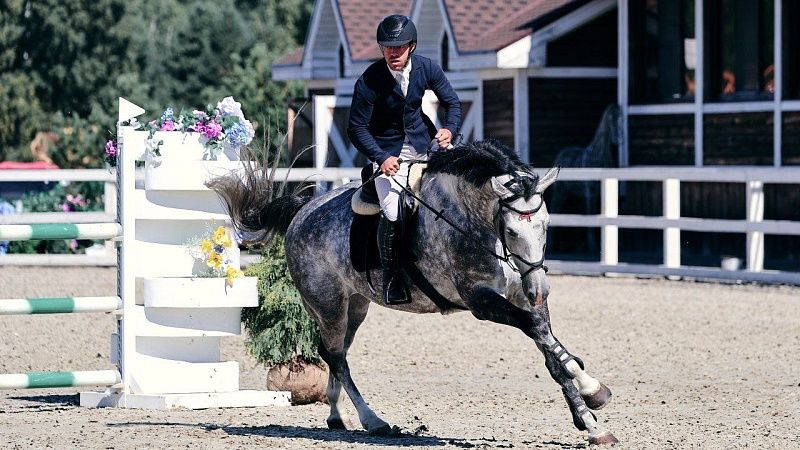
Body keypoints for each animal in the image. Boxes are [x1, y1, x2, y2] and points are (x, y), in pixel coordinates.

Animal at [208, 140, 620, 442]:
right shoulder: (482, 301)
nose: (540, 289)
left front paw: (589, 411)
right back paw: (372, 421)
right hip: (329, 305)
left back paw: (336, 416)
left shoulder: (520, 296)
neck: (474, 222)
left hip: (356, 306)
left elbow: (549, 346)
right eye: (512, 230)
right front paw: (591, 394)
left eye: (546, 225)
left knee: (335, 353)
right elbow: (538, 332)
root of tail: (302, 212)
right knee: (334, 354)